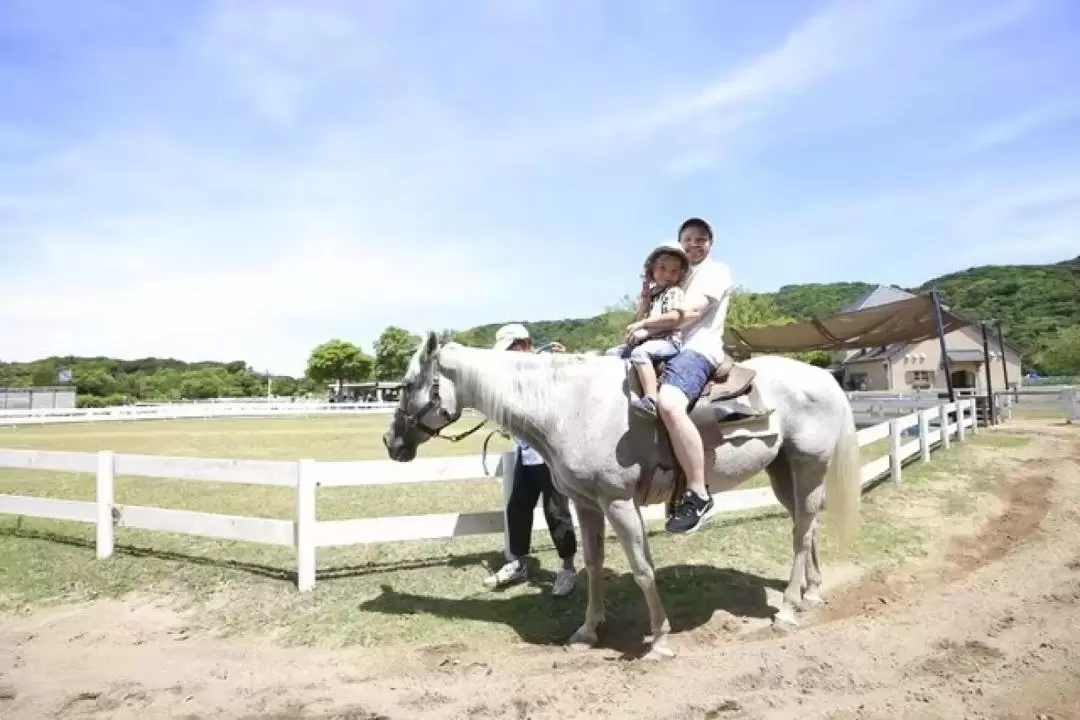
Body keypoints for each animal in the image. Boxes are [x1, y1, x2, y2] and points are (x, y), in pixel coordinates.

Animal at [382, 334, 859, 660]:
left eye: (406, 384)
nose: (390, 442)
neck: (567, 405)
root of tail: (824, 378)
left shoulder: (618, 502)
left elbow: (643, 569)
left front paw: (660, 640)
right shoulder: (586, 504)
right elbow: (593, 566)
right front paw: (588, 630)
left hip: (808, 465)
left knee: (801, 531)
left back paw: (788, 610)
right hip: (783, 471)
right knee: (807, 526)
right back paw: (811, 592)